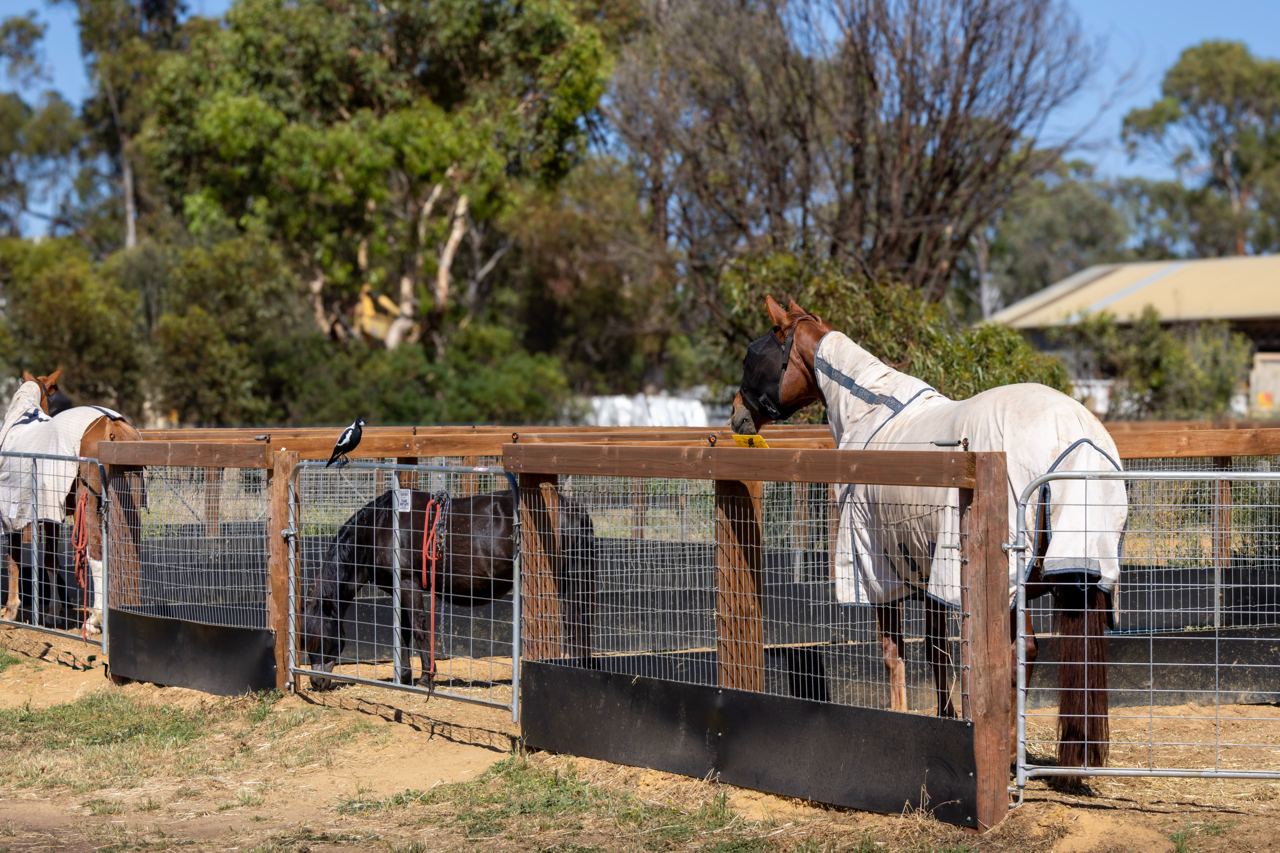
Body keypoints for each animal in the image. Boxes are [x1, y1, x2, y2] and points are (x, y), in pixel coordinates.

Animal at [0, 370, 145, 635]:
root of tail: (112, 424)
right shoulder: (50, 514)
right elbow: (51, 561)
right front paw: (52, 614)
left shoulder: (15, 513)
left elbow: (14, 558)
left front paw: (11, 610)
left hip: (86, 504)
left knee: (96, 552)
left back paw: (94, 619)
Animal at [302, 487, 595, 694]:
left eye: (320, 637)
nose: (316, 683)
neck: (380, 528)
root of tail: (572, 507)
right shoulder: (399, 590)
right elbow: (404, 633)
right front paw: (405, 678)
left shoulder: (409, 584)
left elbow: (419, 631)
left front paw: (425, 679)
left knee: (574, 624)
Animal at [730, 296, 1128, 772]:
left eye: (754, 355)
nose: (736, 416)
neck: (872, 414)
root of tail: (1074, 437)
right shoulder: (925, 571)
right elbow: (937, 650)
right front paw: (945, 718)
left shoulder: (880, 568)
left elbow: (895, 651)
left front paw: (901, 719)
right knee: (1027, 652)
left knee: (1016, 652)